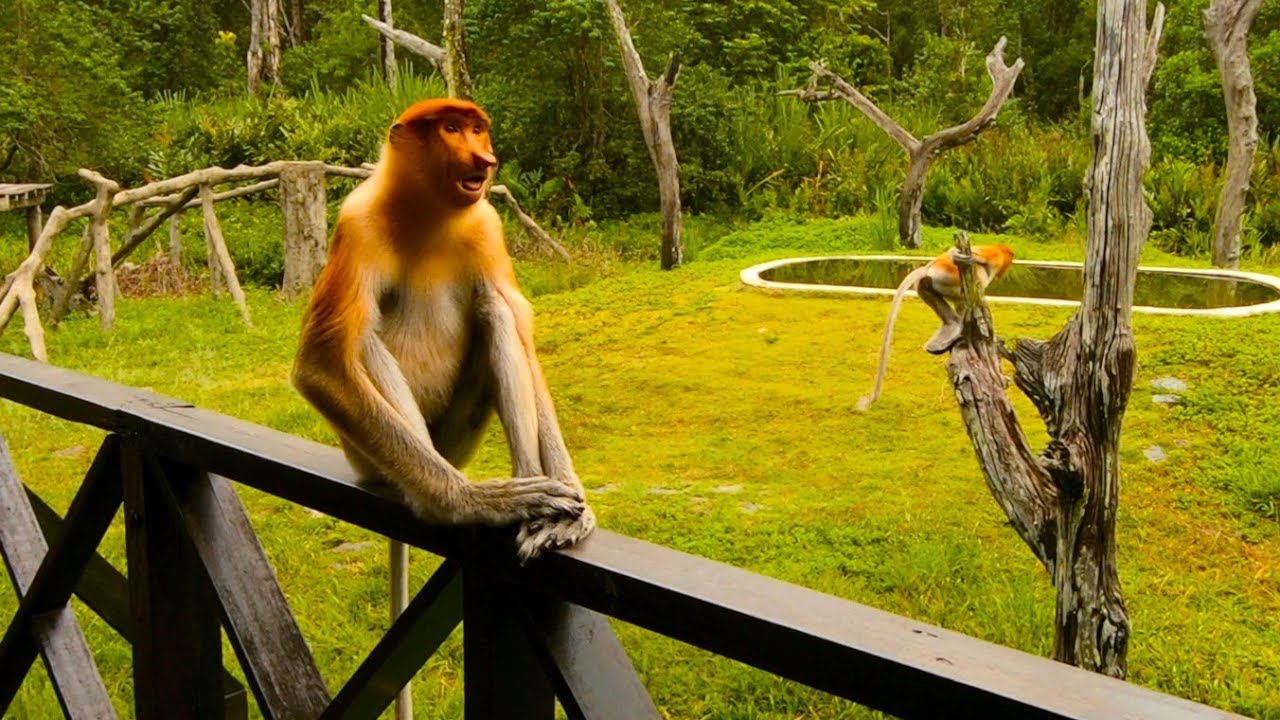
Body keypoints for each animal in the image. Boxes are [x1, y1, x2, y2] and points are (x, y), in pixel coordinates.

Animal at [292, 97, 596, 565]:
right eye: (451, 128)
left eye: (477, 129)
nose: (485, 159)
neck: (429, 213)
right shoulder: (356, 224)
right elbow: (318, 364)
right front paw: (467, 501)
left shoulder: (488, 227)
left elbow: (519, 328)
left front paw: (572, 502)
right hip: (370, 456)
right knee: (362, 342)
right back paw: (441, 500)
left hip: (454, 443)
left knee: (495, 309)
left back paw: (533, 491)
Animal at [856, 244, 1014, 411]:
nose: (1003, 272)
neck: (999, 249)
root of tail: (928, 267)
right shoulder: (994, 257)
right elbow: (972, 257)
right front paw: (962, 256)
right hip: (950, 279)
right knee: (972, 287)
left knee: (927, 288)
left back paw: (950, 329)